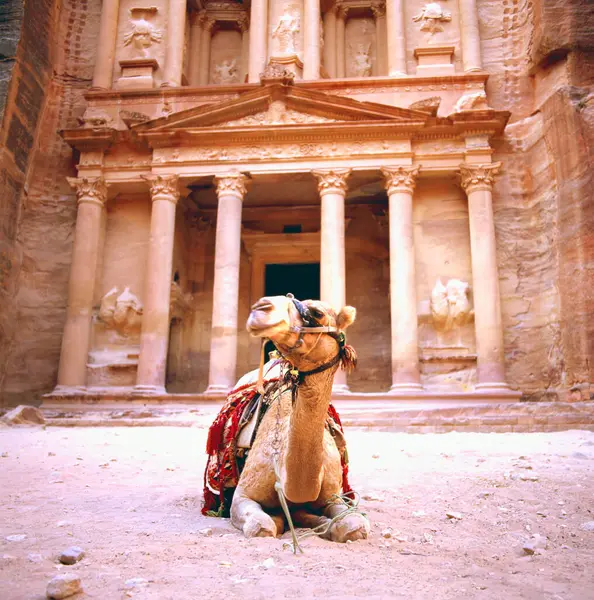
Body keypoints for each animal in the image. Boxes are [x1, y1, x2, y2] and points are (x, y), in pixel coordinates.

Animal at [228, 292, 370, 540]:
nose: (261, 308)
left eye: (317, 312)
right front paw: (281, 520)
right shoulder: (243, 495)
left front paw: (326, 523)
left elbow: (353, 525)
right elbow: (262, 526)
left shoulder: (333, 496)